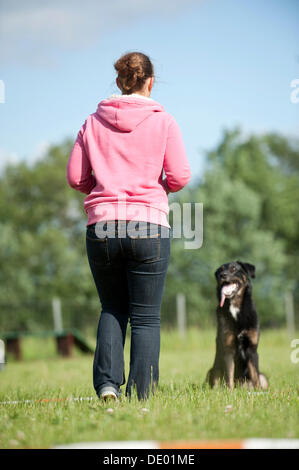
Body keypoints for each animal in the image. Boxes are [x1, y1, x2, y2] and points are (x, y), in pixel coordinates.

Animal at [206, 260, 270, 390]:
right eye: (220, 271)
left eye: (234, 269)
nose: (222, 275)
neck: (235, 306)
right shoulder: (228, 350)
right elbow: (229, 376)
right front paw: (230, 392)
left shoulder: (252, 349)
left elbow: (255, 376)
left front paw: (258, 391)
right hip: (212, 371)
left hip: (263, 377)